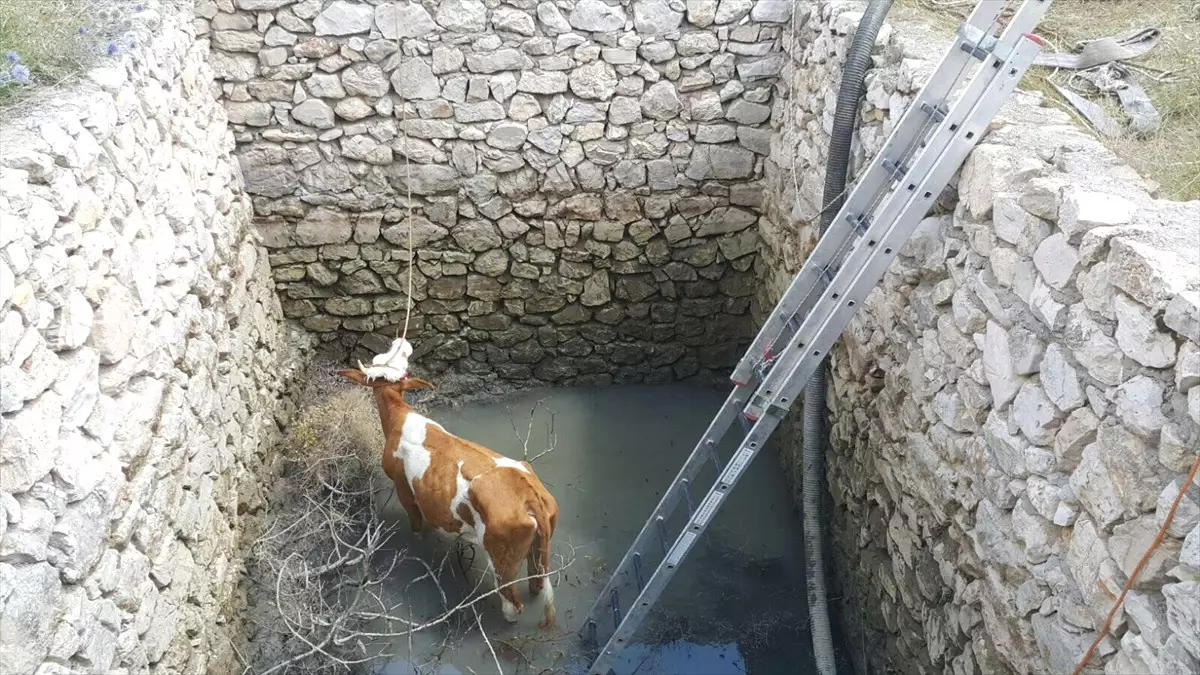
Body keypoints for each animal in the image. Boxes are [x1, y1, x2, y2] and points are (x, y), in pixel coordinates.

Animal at [340, 367, 559, 624]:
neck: (400, 416)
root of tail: (530, 494)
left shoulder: (405, 492)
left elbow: (417, 527)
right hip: (538, 549)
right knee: (536, 585)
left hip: (501, 560)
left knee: (513, 604)